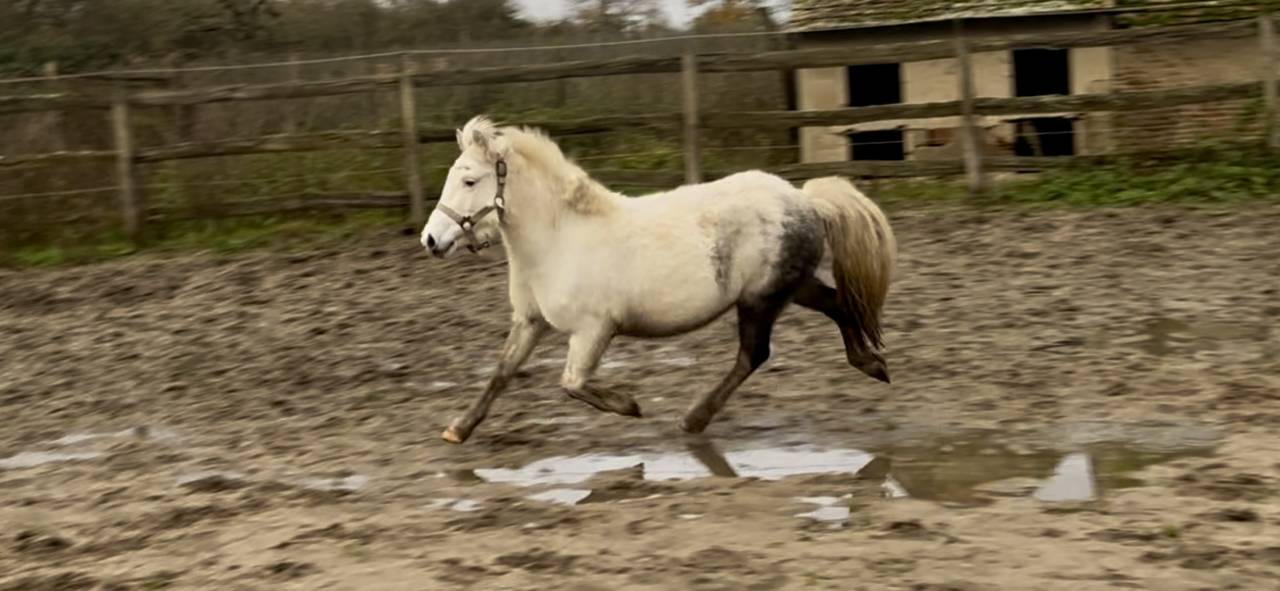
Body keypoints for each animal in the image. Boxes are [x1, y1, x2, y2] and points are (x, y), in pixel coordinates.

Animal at [420, 115, 897, 444]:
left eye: (469, 180)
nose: (430, 240)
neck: (559, 240)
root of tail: (805, 198)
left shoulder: (594, 329)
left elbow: (571, 383)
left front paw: (630, 406)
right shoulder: (530, 321)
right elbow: (502, 372)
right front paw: (458, 429)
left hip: (761, 298)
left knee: (753, 354)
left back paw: (693, 418)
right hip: (791, 288)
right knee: (839, 305)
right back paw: (872, 364)